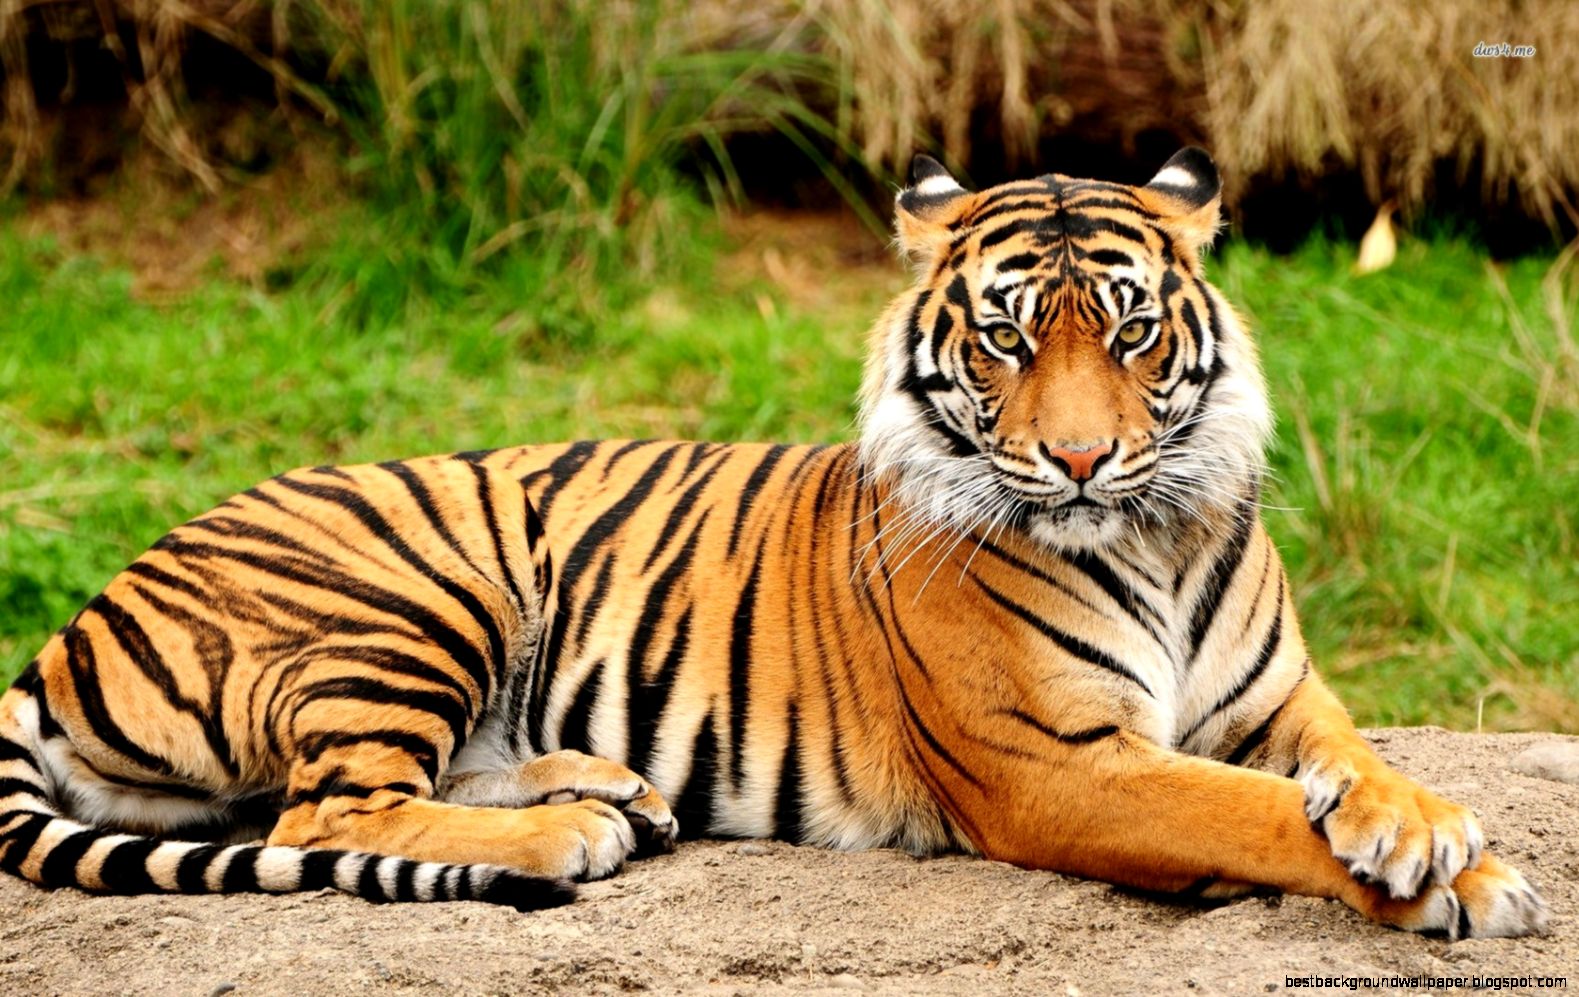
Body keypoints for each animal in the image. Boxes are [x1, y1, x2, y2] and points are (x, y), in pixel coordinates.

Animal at [0, 148, 1548, 938]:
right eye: (1004, 339)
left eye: (1125, 333)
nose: (1078, 459)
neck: (1153, 536)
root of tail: (77, 619)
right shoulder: (1056, 765)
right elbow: (1242, 812)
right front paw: (1460, 880)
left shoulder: (1282, 699)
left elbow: (1353, 764)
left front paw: (1427, 829)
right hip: (415, 586)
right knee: (326, 809)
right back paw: (570, 828)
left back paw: (610, 788)